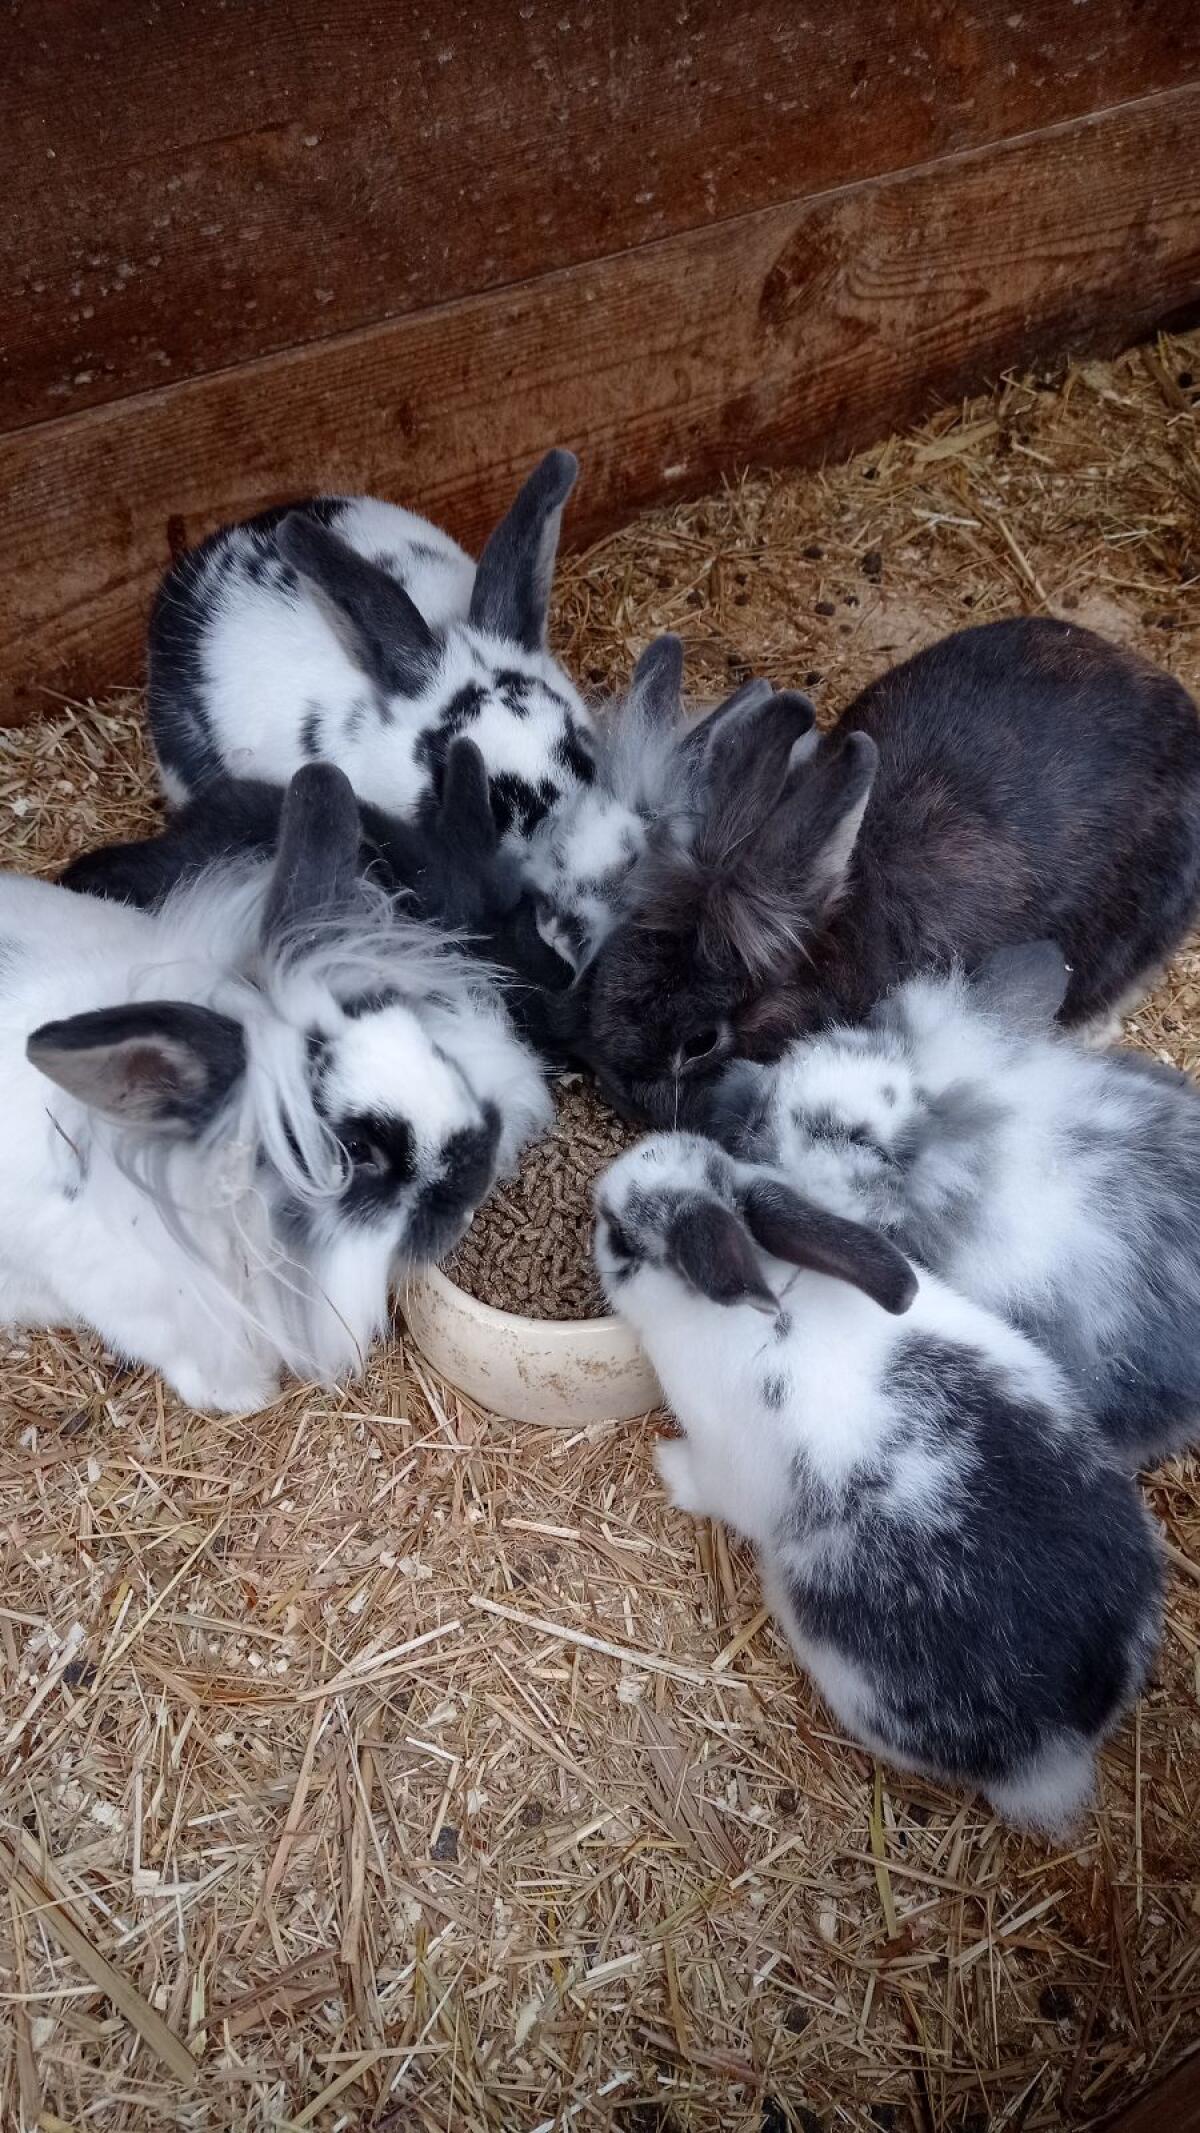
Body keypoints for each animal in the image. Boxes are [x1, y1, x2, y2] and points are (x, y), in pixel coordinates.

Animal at [593, 1132, 1161, 1834]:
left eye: (619, 1234)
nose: (596, 1195)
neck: (771, 1300)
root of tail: (1064, 1741)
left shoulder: (722, 1465)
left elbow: (704, 1485)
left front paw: (665, 1467)